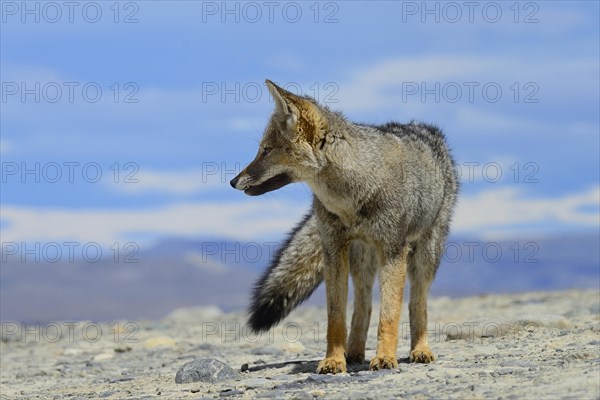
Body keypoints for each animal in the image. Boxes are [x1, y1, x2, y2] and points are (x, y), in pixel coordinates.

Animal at [231, 79, 460, 374]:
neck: (351, 200)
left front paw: (385, 358)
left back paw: (420, 349)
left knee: (416, 304)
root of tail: (427, 129)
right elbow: (336, 317)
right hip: (362, 260)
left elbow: (390, 314)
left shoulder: (393, 250)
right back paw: (354, 353)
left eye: (266, 150)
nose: (232, 181)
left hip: (424, 255)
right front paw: (333, 360)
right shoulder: (333, 250)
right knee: (364, 306)